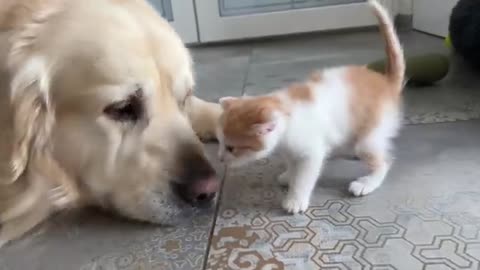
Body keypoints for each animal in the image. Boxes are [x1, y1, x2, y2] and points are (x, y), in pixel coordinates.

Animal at [218, 0, 404, 215]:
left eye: (231, 148)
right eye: (220, 142)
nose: (220, 159)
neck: (285, 110)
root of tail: (386, 82)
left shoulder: (312, 152)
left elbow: (304, 177)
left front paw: (295, 200)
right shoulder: (289, 149)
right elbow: (292, 163)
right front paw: (288, 175)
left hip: (370, 135)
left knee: (384, 161)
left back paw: (367, 183)